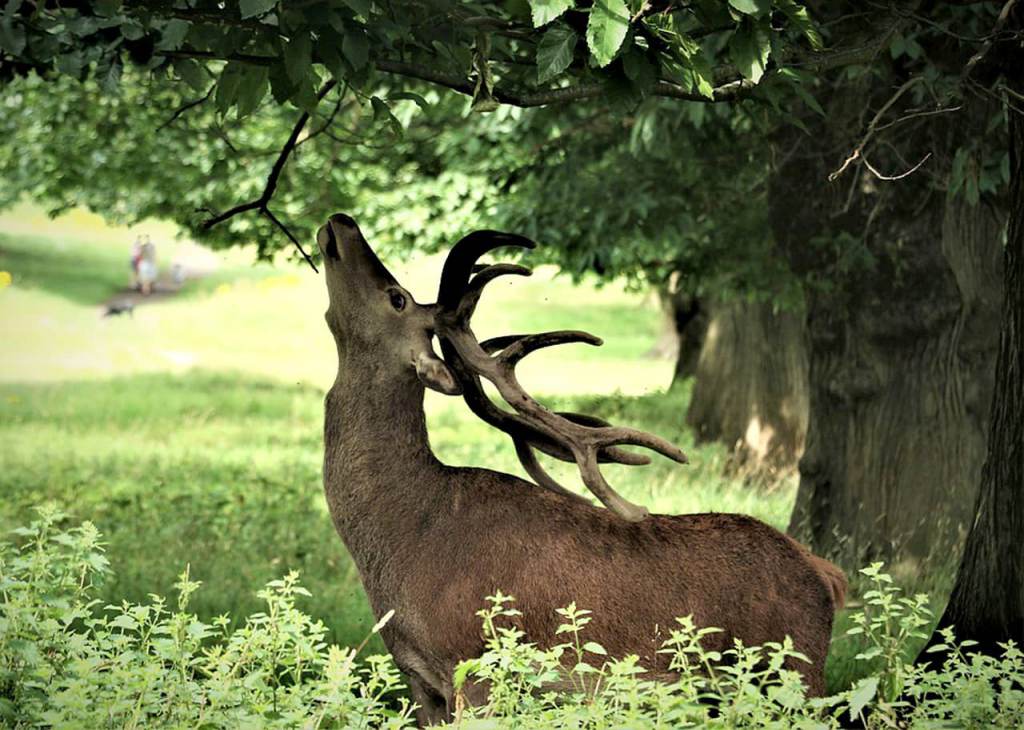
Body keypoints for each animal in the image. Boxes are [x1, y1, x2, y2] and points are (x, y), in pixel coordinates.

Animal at [315, 211, 843, 724]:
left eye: (397, 297)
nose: (341, 221)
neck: (406, 538)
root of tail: (826, 575)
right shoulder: (420, 680)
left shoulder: (480, 663)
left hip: (793, 671)